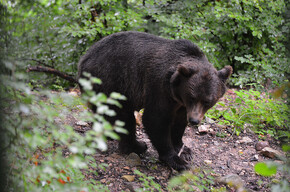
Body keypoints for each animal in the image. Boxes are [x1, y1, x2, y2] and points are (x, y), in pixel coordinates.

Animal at [77, 31, 231, 171]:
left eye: (207, 101)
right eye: (192, 97)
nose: (194, 120)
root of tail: (84, 59)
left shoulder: (181, 104)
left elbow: (179, 122)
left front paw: (184, 149)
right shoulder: (159, 87)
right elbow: (155, 119)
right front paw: (176, 160)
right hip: (110, 81)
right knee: (122, 116)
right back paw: (136, 146)